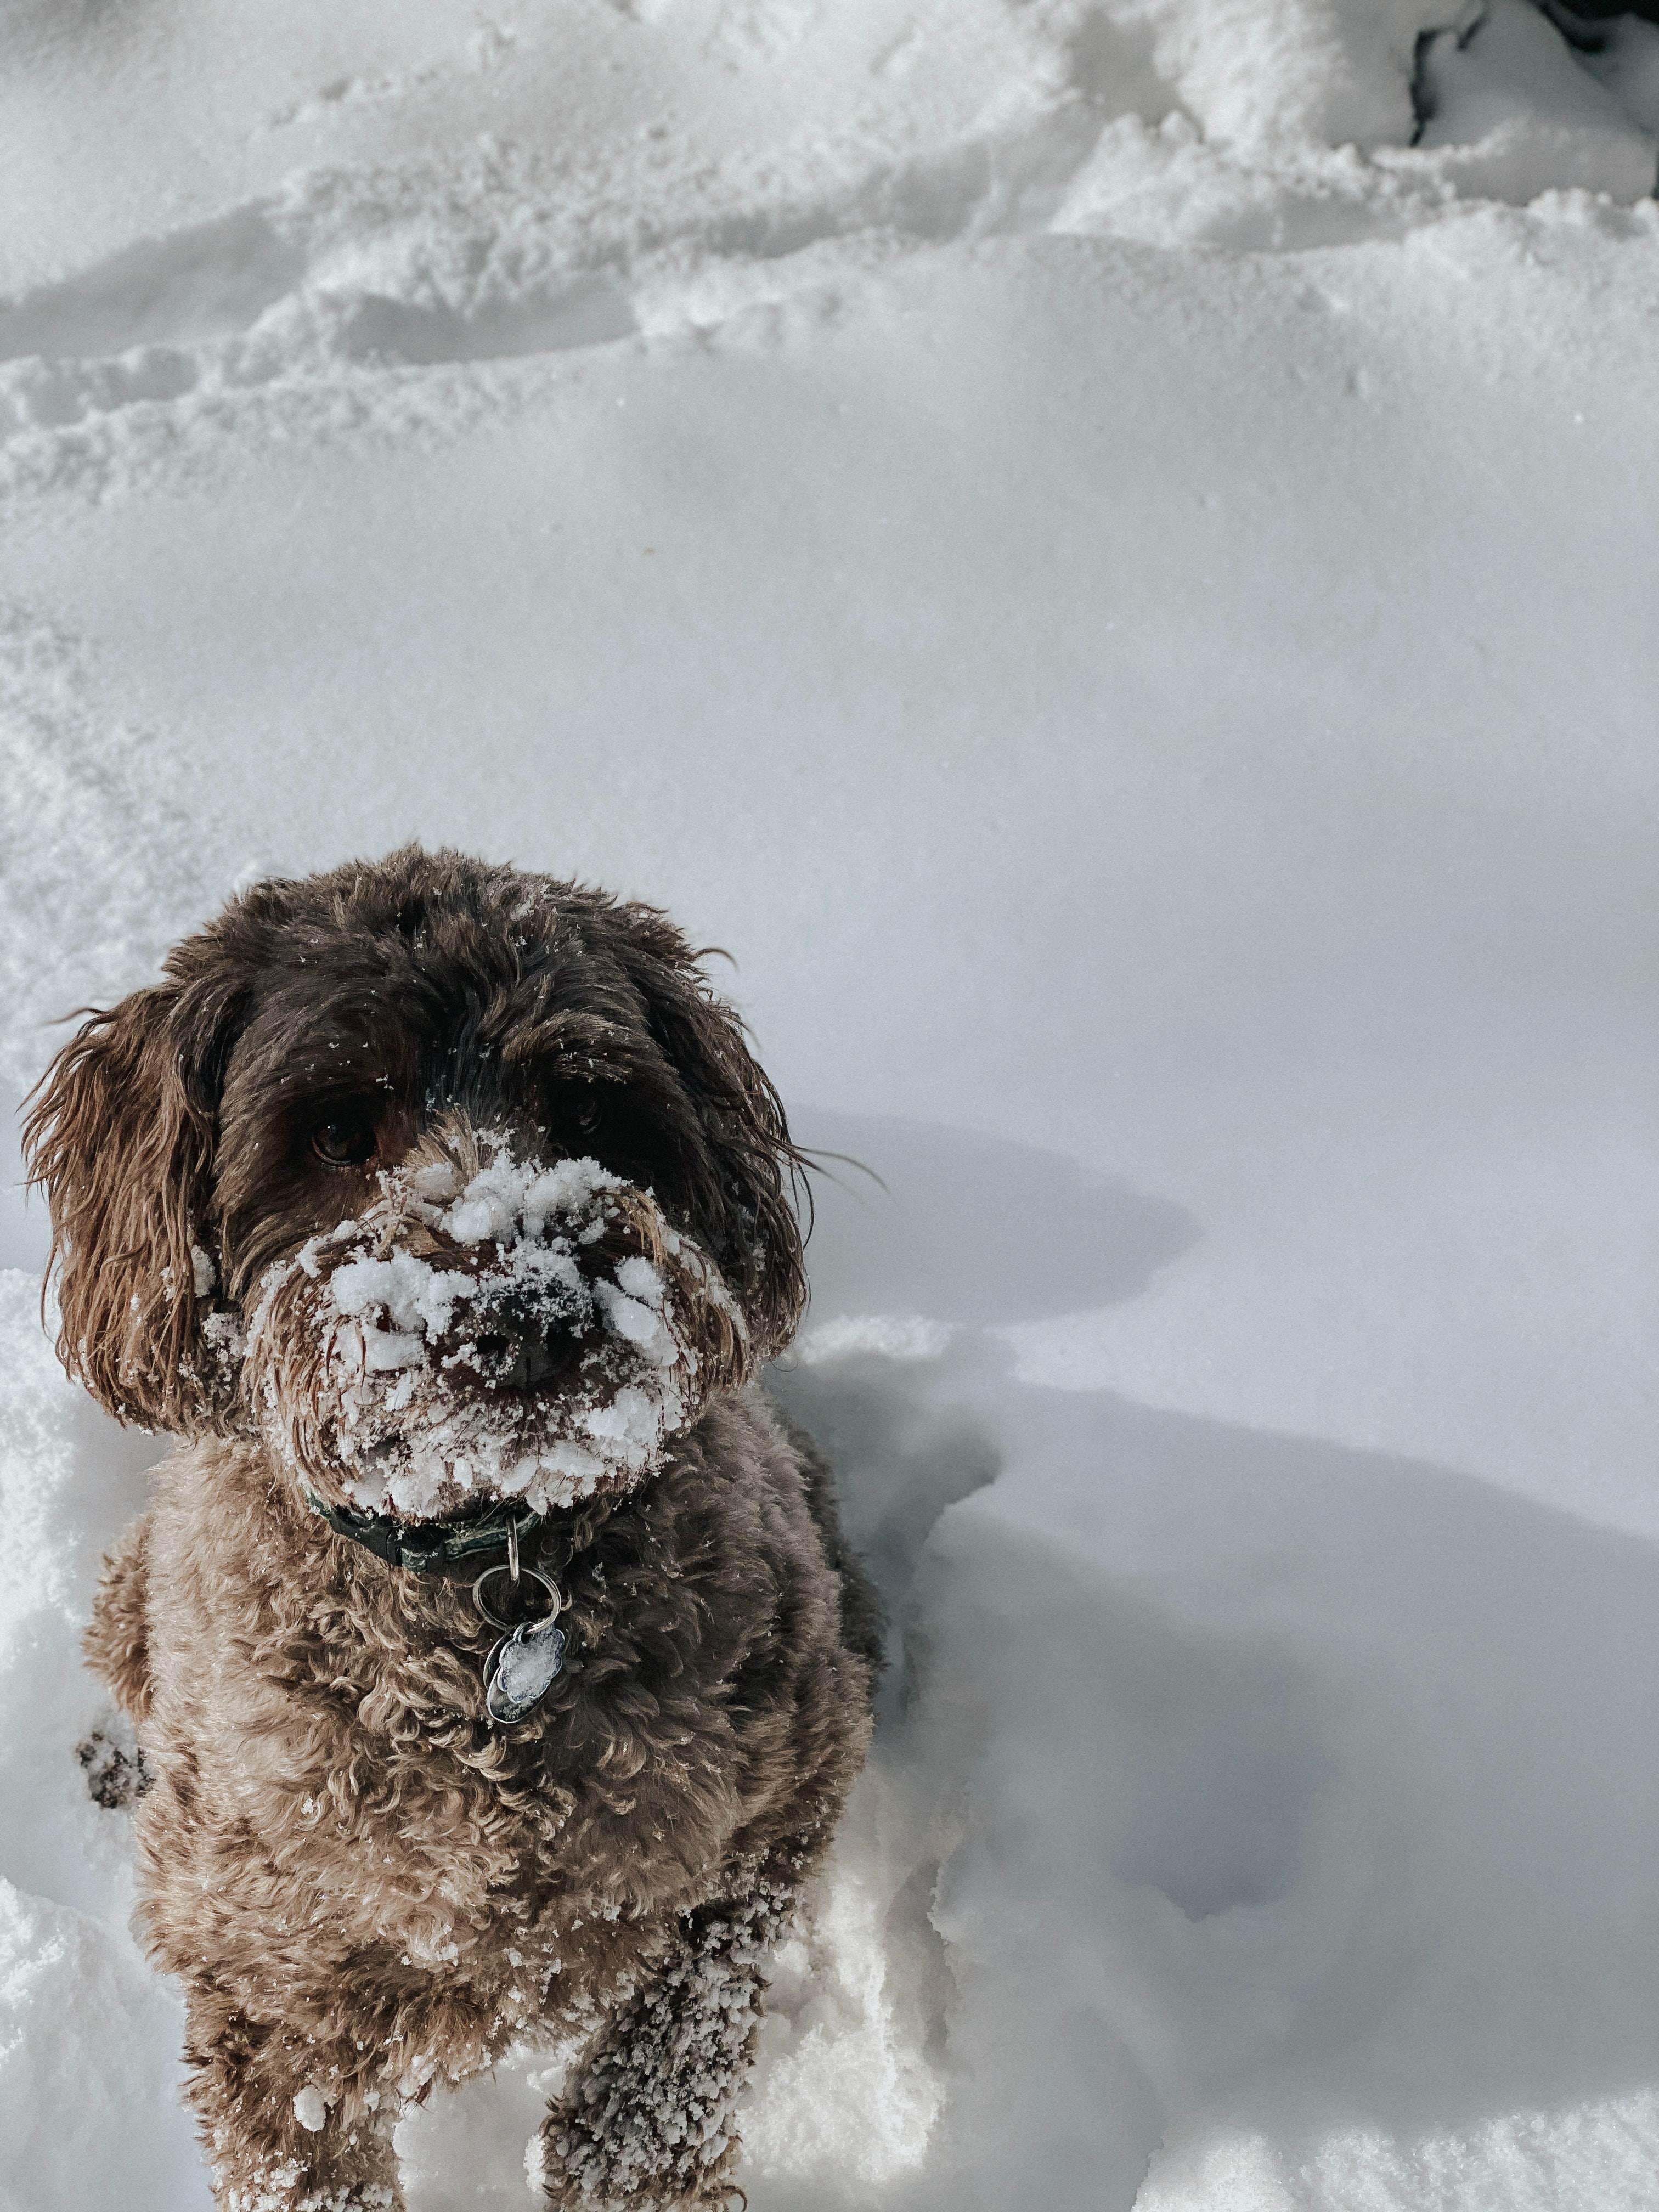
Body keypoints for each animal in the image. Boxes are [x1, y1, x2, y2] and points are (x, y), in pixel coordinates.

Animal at [22, 845, 884, 2212]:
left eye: (588, 1111)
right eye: (334, 1130)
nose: (531, 1311)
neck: (490, 1569)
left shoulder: (787, 1784)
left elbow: (674, 2034)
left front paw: (628, 2163)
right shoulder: (262, 1983)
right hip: (132, 1597)